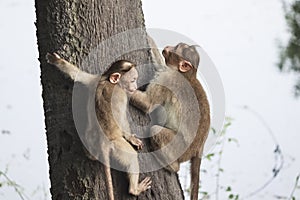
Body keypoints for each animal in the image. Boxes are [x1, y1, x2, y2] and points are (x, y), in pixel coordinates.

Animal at [46, 52, 152, 199]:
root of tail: (103, 143)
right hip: (117, 146)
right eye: (133, 80)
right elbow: (121, 119)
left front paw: (56, 61)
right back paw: (134, 189)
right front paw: (132, 138)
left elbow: (80, 75)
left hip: (90, 142)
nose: (135, 87)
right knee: (131, 156)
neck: (109, 81)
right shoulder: (120, 95)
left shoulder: (97, 79)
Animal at [129, 42, 211, 200]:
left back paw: (172, 166)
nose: (168, 46)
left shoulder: (168, 79)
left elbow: (148, 103)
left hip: (180, 147)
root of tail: (199, 147)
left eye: (177, 48)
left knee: (155, 130)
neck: (187, 75)